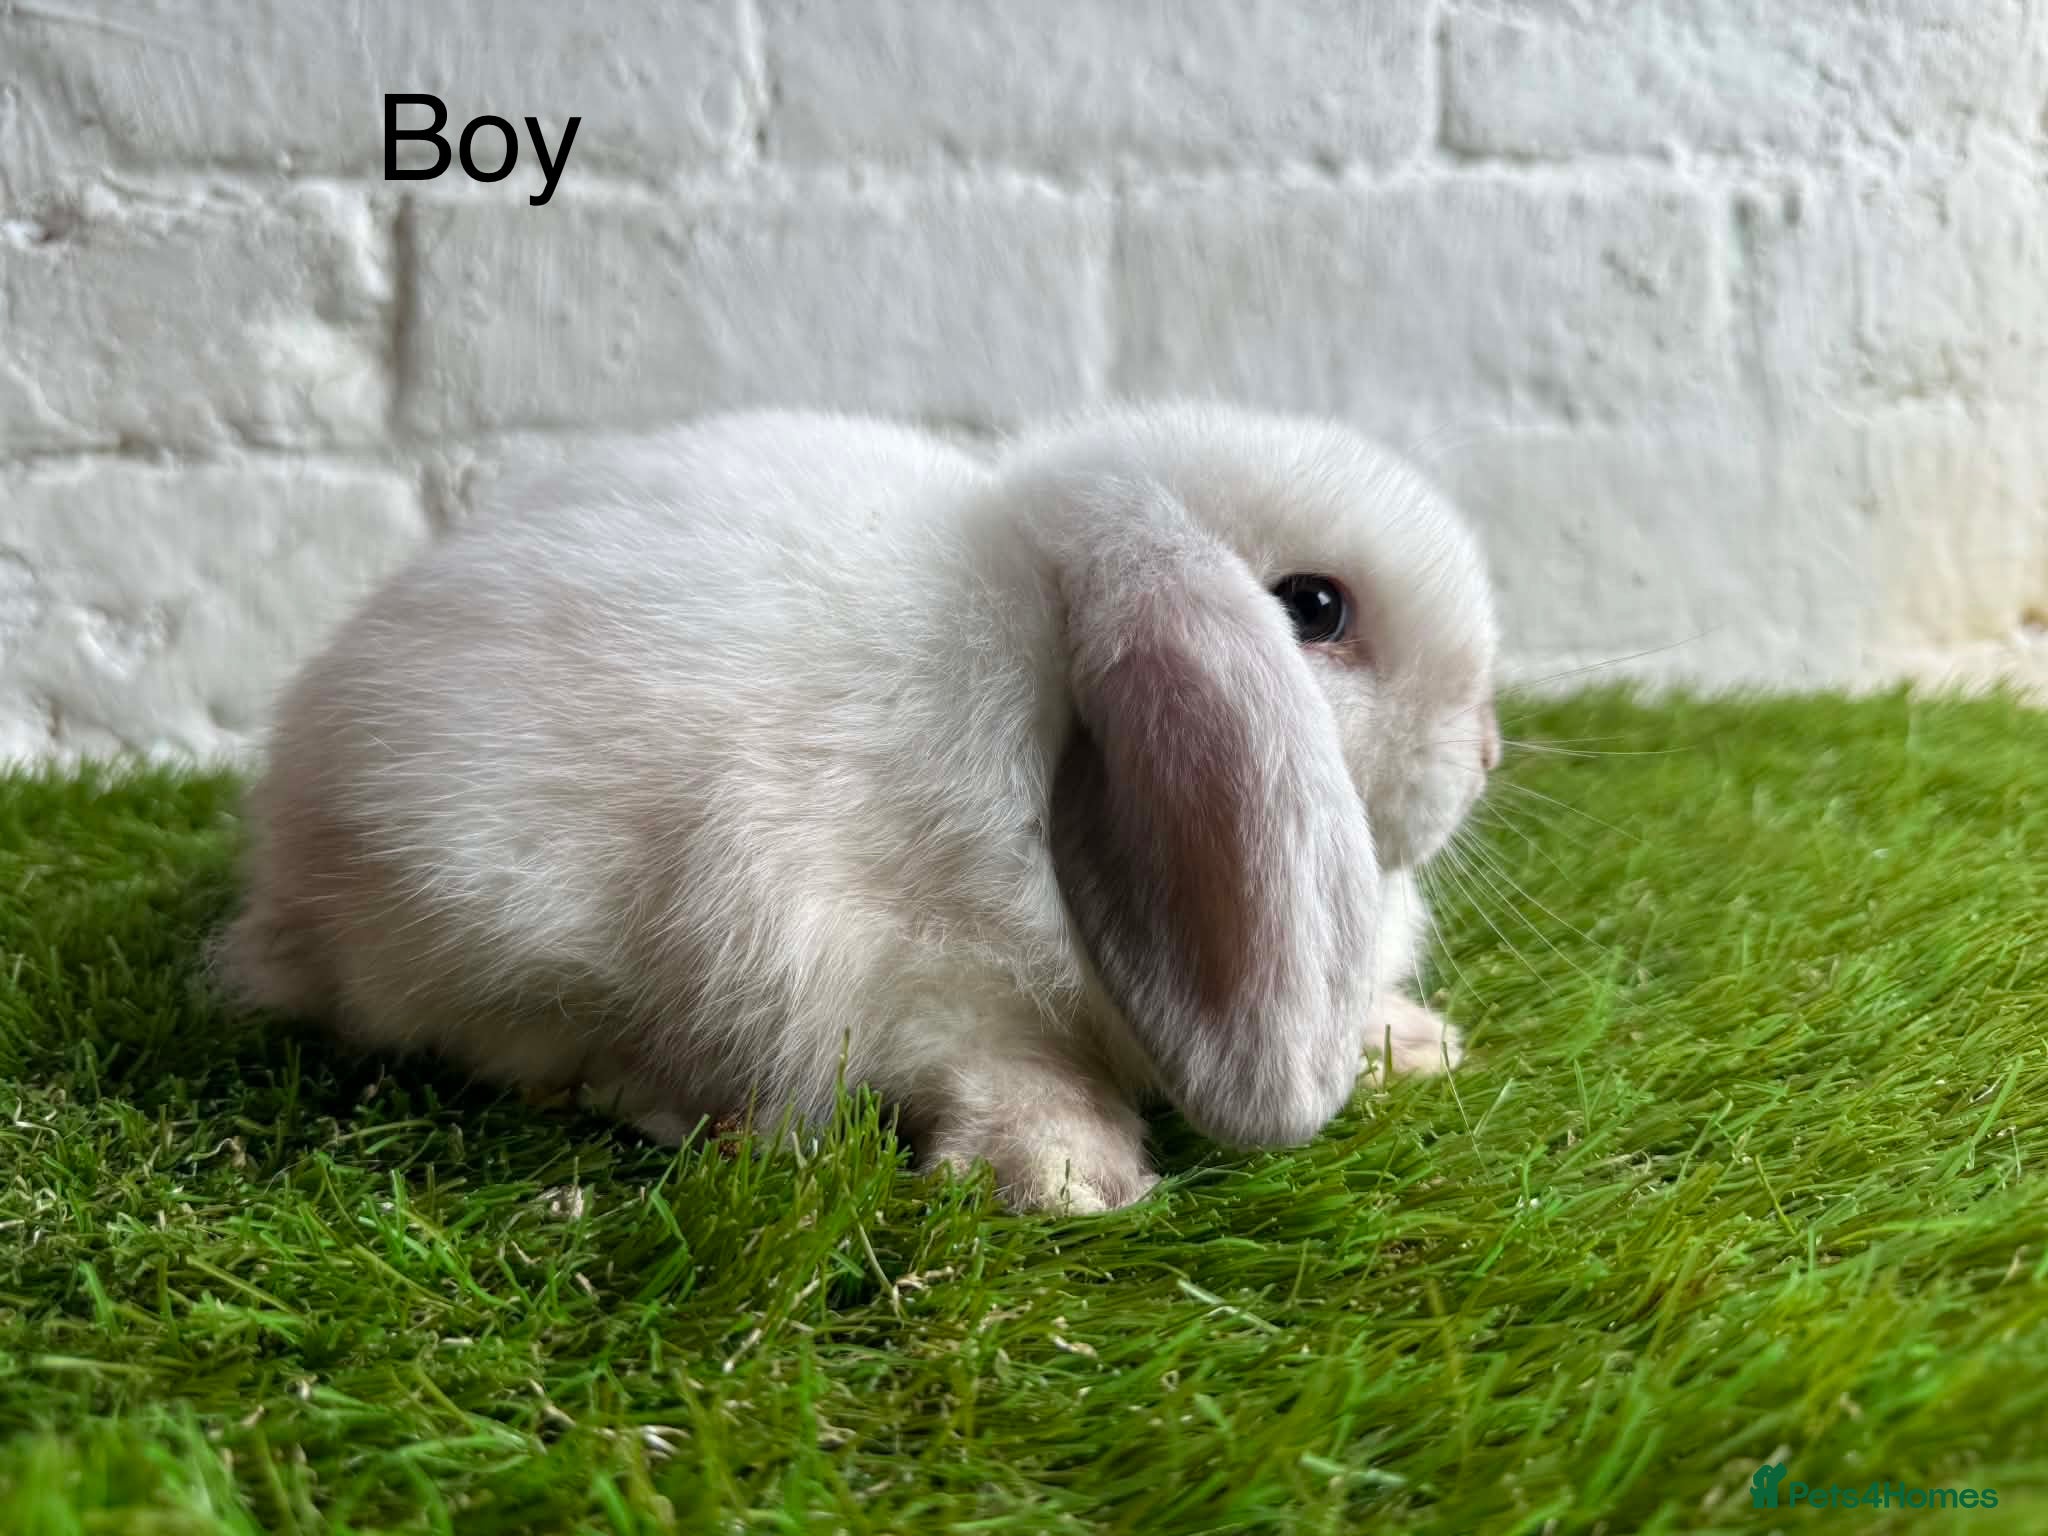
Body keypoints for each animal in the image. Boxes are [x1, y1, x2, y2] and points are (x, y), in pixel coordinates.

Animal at [215, 401, 1502, 1213]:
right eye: (1315, 609)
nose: (1485, 750)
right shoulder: (916, 973)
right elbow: (1002, 1069)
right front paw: (1069, 1177)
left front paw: (1415, 1043)